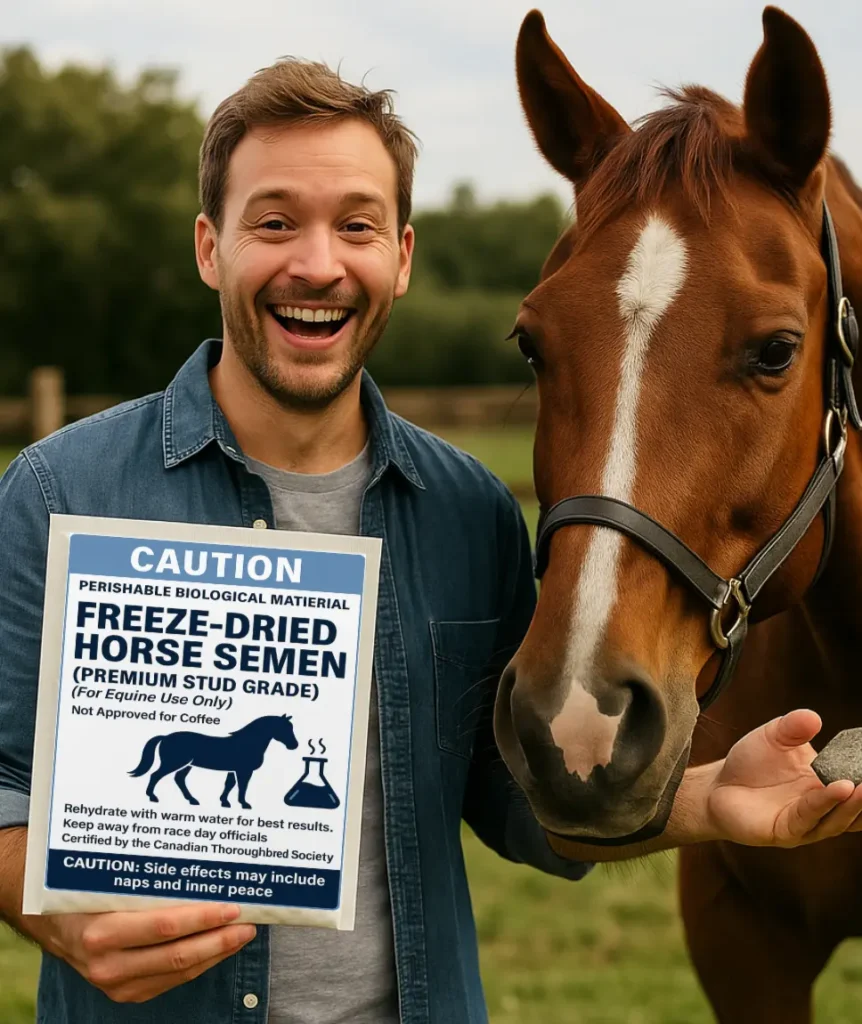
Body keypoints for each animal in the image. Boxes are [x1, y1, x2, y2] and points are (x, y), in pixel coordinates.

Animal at [128, 714, 299, 809]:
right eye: (283, 728)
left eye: (291, 727)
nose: (294, 745)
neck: (248, 743)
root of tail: (165, 737)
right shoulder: (244, 770)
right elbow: (242, 786)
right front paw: (244, 804)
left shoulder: (233, 770)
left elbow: (230, 785)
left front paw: (225, 802)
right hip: (173, 763)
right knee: (156, 776)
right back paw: (153, 797)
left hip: (186, 765)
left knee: (179, 779)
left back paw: (192, 800)